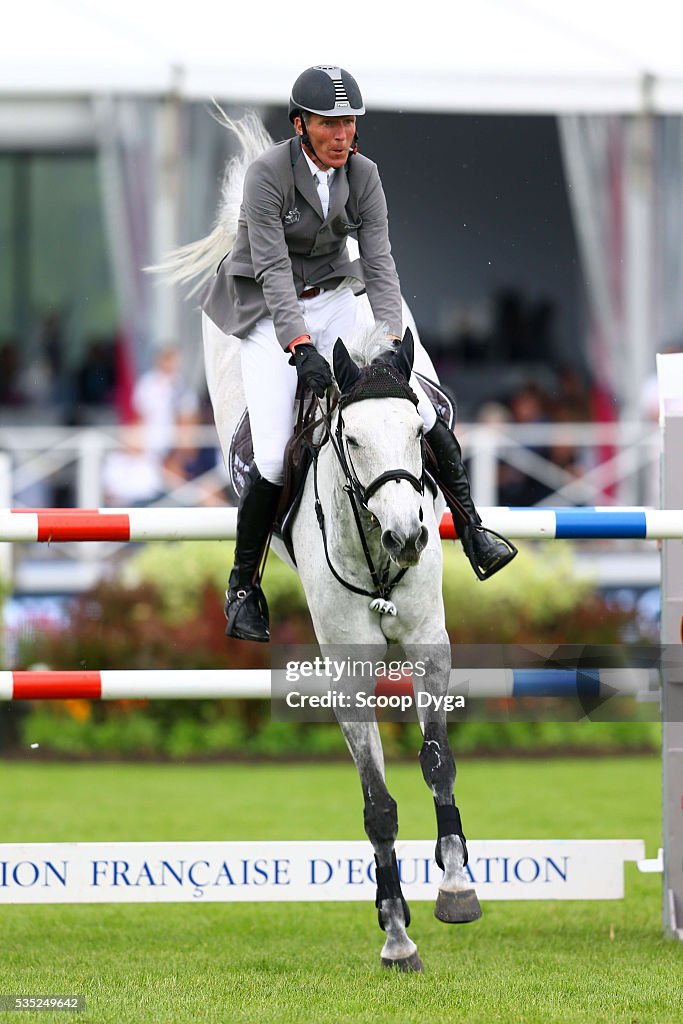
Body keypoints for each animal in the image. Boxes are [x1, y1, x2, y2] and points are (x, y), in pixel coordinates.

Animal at [149, 110, 481, 966]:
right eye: (350, 440)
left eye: (419, 434)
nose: (406, 536)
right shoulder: (350, 666)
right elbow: (376, 801)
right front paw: (395, 931)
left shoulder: (427, 640)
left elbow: (436, 762)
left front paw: (456, 889)